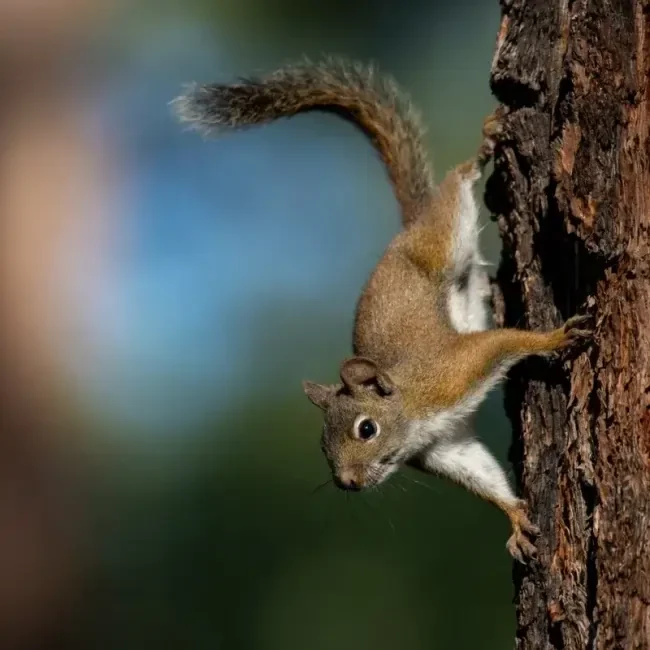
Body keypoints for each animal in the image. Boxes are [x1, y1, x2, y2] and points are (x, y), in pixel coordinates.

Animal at [173, 58, 592, 562]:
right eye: (322, 443)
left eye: (366, 429)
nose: (347, 482)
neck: (412, 411)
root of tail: (406, 230)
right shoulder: (445, 448)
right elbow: (481, 473)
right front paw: (514, 518)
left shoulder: (453, 371)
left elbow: (505, 342)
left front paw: (556, 337)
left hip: (438, 238)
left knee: (457, 183)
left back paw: (486, 142)